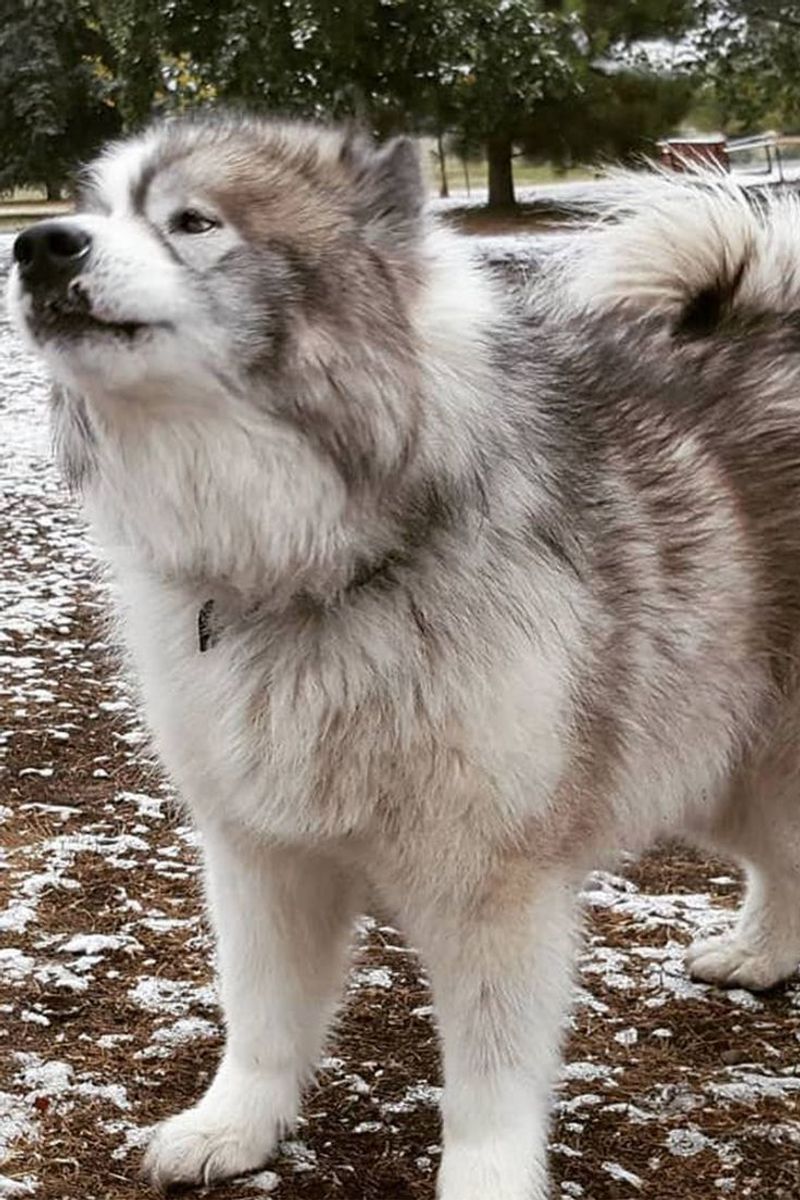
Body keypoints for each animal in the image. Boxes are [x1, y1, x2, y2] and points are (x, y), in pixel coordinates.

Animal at [6, 112, 800, 1200]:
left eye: (193, 222)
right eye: (93, 208)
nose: (37, 245)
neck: (314, 573)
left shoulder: (493, 888)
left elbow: (490, 1080)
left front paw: (483, 1181)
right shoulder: (260, 855)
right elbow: (261, 1019)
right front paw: (234, 1129)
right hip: (720, 765)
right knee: (783, 859)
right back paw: (761, 954)